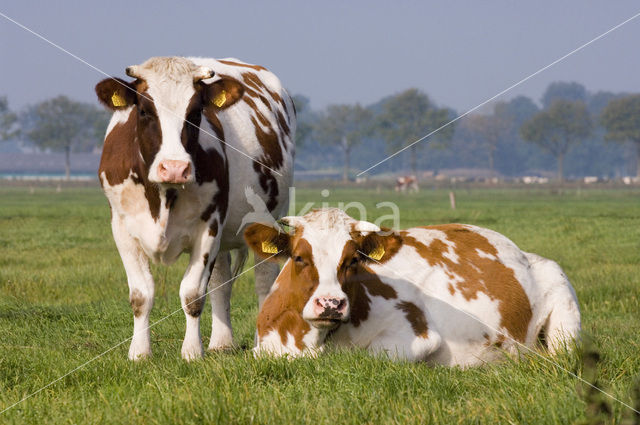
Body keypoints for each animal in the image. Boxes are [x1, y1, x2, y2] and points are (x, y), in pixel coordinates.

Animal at [95, 57, 296, 362]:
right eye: (144, 110)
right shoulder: (122, 228)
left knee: (263, 280)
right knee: (221, 283)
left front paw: (191, 351)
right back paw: (222, 342)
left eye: (195, 112)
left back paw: (263, 343)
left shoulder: (208, 226)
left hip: (269, 219)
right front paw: (139, 352)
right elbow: (141, 295)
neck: (163, 196)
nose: (174, 168)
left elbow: (192, 294)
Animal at [244, 208, 580, 364]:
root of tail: (523, 253)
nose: (330, 303)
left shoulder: (416, 335)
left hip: (563, 313)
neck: (310, 343)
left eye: (353, 259)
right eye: (299, 257)